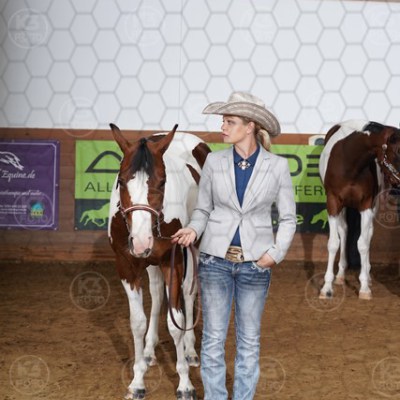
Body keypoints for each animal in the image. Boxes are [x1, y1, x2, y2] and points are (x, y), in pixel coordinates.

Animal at [107, 123, 210, 399]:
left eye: (162, 182)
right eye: (121, 181)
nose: (142, 241)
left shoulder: (171, 263)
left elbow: (175, 323)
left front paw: (185, 384)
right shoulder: (127, 266)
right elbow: (138, 322)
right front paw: (137, 381)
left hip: (192, 250)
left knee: (188, 294)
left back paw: (190, 351)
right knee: (155, 295)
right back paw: (149, 351)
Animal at [318, 120, 400, 300]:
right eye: (398, 151)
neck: (350, 163)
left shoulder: (366, 205)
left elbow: (362, 243)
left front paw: (364, 287)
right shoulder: (332, 203)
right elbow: (333, 243)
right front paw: (326, 288)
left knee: (368, 235)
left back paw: (367, 276)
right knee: (344, 231)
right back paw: (340, 274)